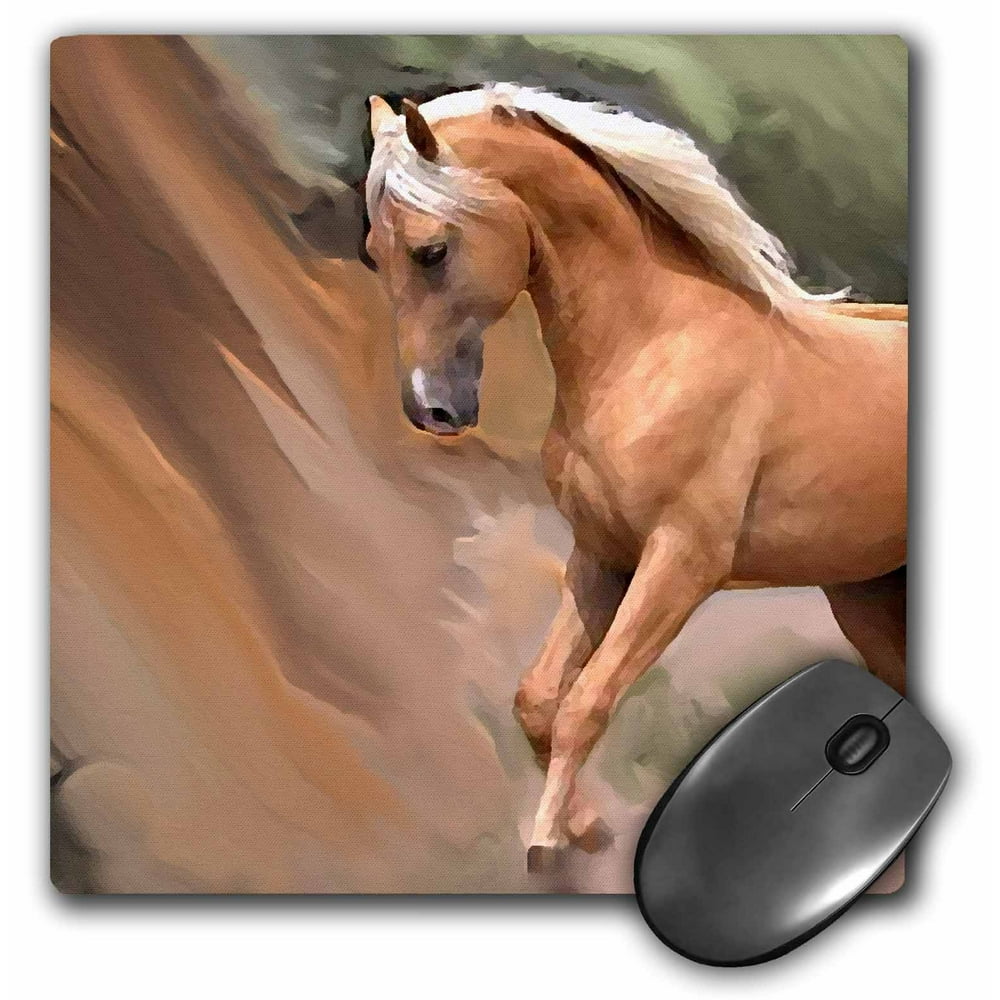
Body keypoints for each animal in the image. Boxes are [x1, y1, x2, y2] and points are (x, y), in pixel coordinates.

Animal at [363, 84, 907, 867]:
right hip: (868, 599)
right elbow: (539, 701)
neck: (653, 345)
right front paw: (583, 830)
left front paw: (546, 845)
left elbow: (587, 703)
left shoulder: (681, 568)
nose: (430, 409)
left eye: (431, 251)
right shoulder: (602, 556)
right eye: (372, 255)